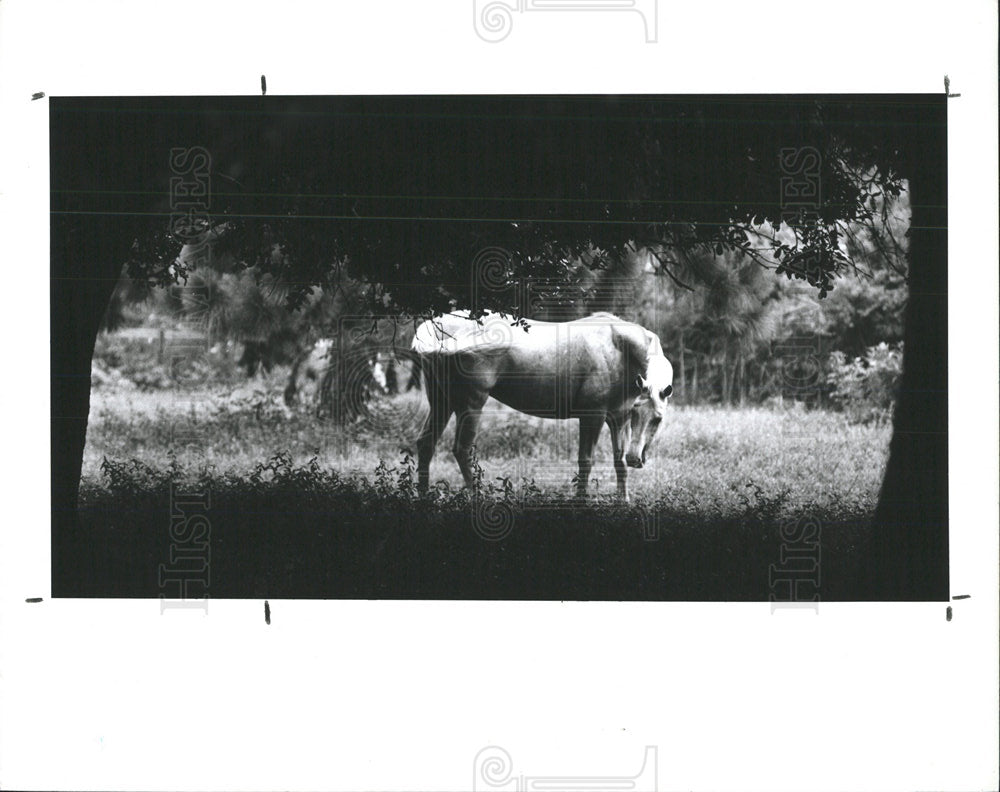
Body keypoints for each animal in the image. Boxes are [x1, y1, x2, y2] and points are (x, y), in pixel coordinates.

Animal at [410, 310, 676, 502]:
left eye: (657, 418)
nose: (636, 459)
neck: (618, 347)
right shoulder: (592, 416)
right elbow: (585, 461)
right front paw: (581, 501)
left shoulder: (618, 418)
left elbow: (618, 462)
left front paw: (624, 501)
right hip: (471, 404)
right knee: (462, 449)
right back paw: (479, 497)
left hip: (442, 402)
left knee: (426, 443)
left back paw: (423, 496)